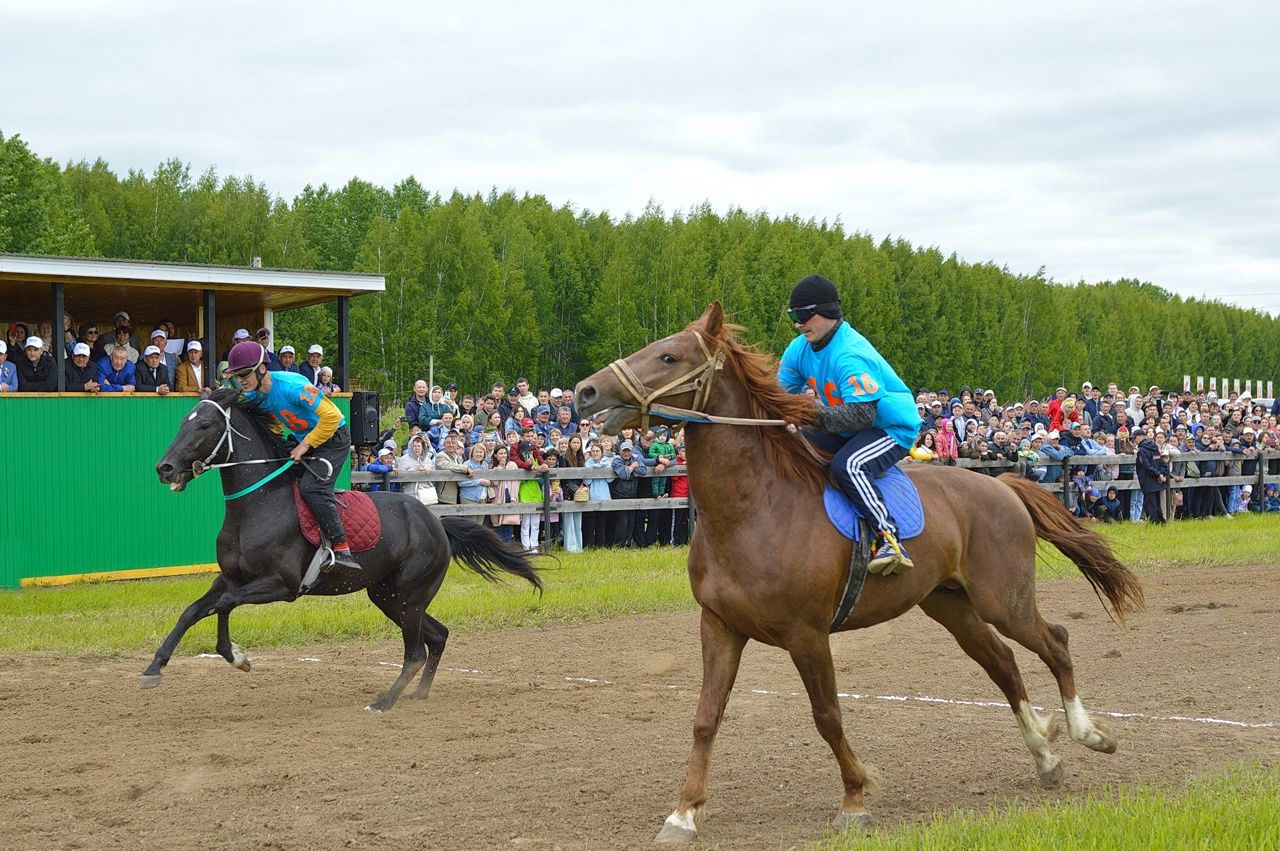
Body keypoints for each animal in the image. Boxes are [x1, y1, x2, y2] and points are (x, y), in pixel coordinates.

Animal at [148, 389, 540, 711]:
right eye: (183, 423)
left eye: (204, 425)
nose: (164, 467)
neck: (258, 506)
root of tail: (436, 523)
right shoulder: (230, 578)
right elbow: (194, 611)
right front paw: (155, 666)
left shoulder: (281, 585)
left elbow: (225, 605)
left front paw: (236, 656)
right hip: (389, 596)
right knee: (438, 636)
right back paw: (418, 694)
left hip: (410, 596)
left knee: (415, 652)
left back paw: (385, 702)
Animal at [576, 302, 1146, 839]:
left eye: (669, 357)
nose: (585, 392)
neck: (752, 509)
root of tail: (1001, 484)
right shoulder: (719, 627)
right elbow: (705, 718)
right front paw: (684, 814)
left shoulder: (806, 635)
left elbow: (827, 716)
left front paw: (855, 797)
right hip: (950, 605)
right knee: (1003, 664)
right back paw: (1045, 757)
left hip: (1003, 601)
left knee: (1055, 642)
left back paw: (1088, 734)